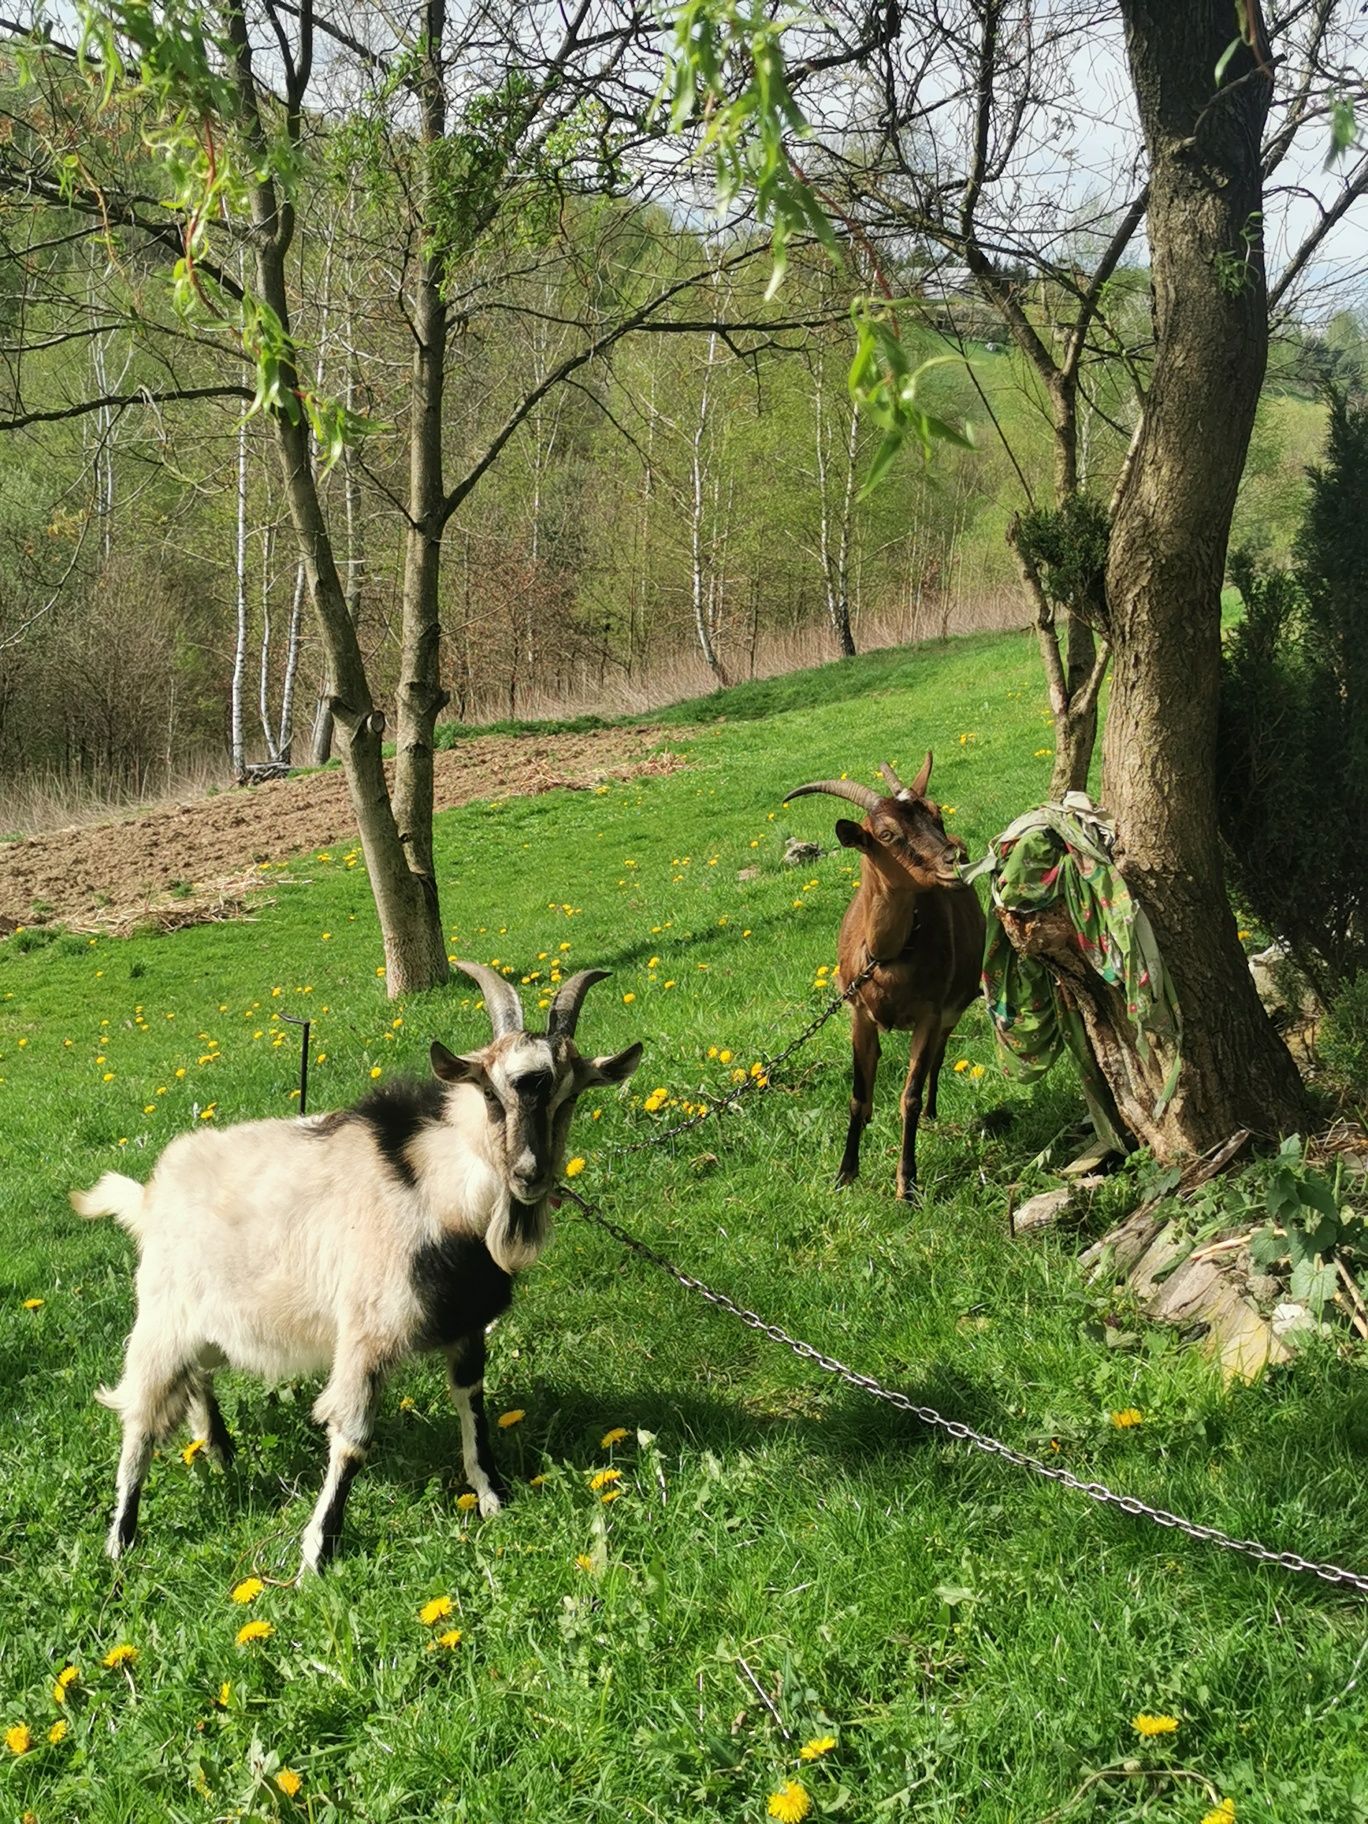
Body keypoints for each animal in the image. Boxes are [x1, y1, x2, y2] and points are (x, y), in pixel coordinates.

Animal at [76, 963, 649, 1575]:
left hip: (210, 1322)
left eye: (570, 1095)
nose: (529, 1174)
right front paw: (315, 1554)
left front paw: (492, 1495)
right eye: (490, 1092)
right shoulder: (366, 1332)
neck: (434, 1189)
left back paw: (218, 1447)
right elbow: (351, 1438)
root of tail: (149, 1195)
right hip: (160, 1316)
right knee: (139, 1415)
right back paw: (120, 1541)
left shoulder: (466, 1323)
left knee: (198, 1377)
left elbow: (471, 1402)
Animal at [787, 751, 992, 1196]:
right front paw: (844, 1174)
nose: (954, 860)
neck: (886, 956)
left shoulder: (930, 1014)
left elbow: (909, 1096)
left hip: (952, 1010)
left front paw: (907, 1185)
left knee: (937, 1059)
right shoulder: (858, 1014)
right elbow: (858, 1097)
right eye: (885, 834)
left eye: (936, 814)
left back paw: (932, 1111)